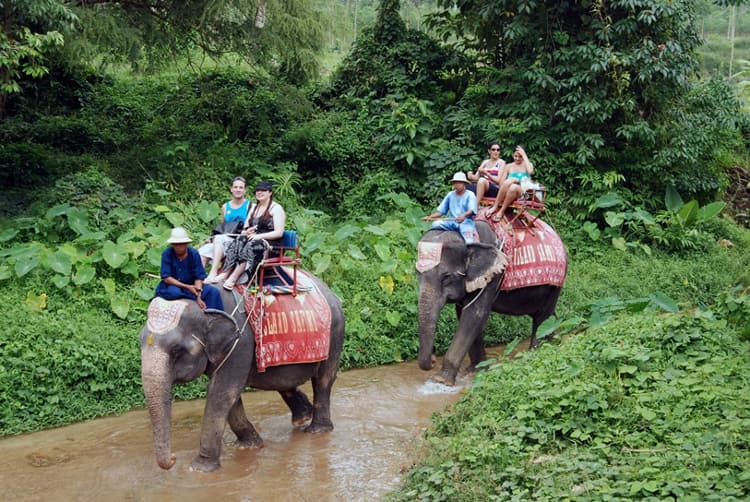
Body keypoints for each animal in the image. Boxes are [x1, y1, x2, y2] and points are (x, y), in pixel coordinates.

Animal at [140, 276, 346, 472]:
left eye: (176, 350)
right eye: (139, 342)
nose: (174, 458)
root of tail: (331, 292)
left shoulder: (240, 342)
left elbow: (221, 392)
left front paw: (200, 468)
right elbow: (228, 394)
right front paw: (250, 445)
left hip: (335, 333)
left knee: (322, 381)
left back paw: (316, 430)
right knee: (285, 383)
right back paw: (302, 419)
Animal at [418, 218, 564, 386]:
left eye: (446, 277)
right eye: (417, 273)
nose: (433, 358)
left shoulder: (494, 276)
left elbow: (474, 314)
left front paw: (441, 380)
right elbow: (465, 314)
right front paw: (476, 370)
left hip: (554, 285)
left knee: (542, 319)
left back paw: (535, 354)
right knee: (549, 318)